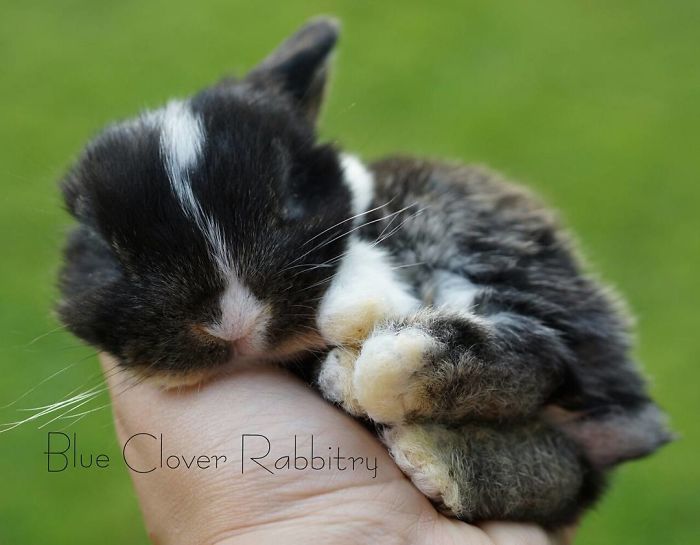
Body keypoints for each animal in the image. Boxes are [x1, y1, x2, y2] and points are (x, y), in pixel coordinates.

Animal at [57, 17, 672, 527]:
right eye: (110, 250)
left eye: (289, 200)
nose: (232, 324)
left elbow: (362, 259)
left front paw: (357, 315)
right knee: (556, 466)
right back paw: (413, 440)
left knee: (537, 356)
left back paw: (390, 366)